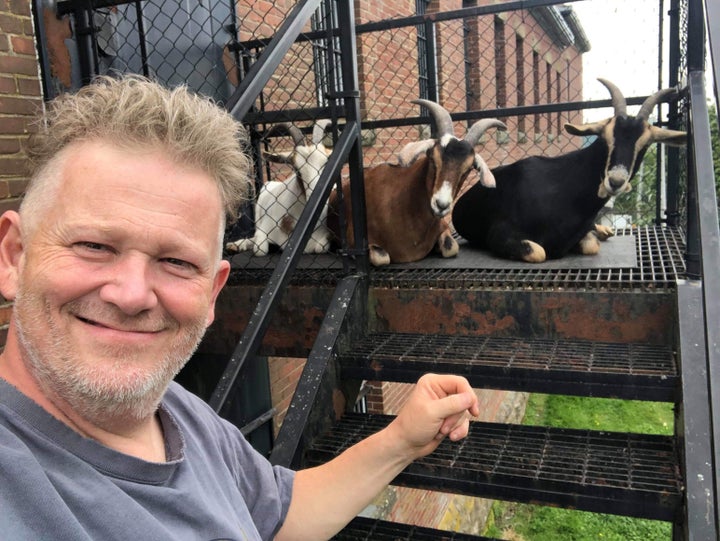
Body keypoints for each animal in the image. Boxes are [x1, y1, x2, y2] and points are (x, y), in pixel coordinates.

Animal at [225, 121, 332, 256]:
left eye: (326, 164)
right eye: (297, 170)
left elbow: (321, 247)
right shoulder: (264, 228)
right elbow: (260, 249)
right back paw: (235, 245)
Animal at [452, 79, 684, 262]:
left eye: (645, 144)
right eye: (605, 137)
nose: (616, 181)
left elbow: (591, 245)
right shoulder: (499, 234)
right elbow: (540, 252)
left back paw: (605, 230)